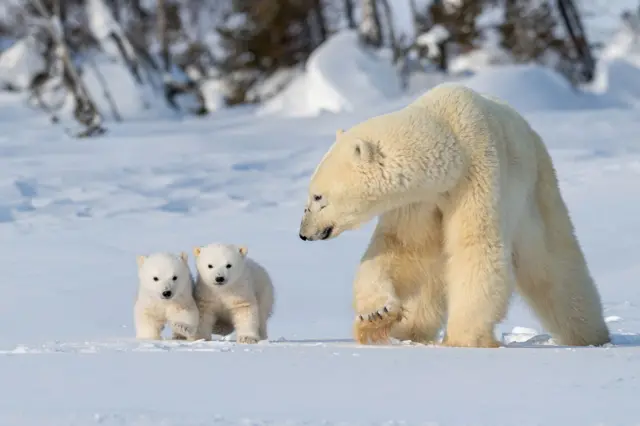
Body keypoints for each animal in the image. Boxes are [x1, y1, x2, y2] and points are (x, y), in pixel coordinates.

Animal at [298, 83, 610, 348]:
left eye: (318, 197)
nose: (303, 233)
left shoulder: (478, 174)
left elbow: (477, 247)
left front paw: (462, 338)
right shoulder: (421, 201)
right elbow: (403, 247)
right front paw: (376, 315)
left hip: (535, 190)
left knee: (552, 263)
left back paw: (591, 335)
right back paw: (408, 331)